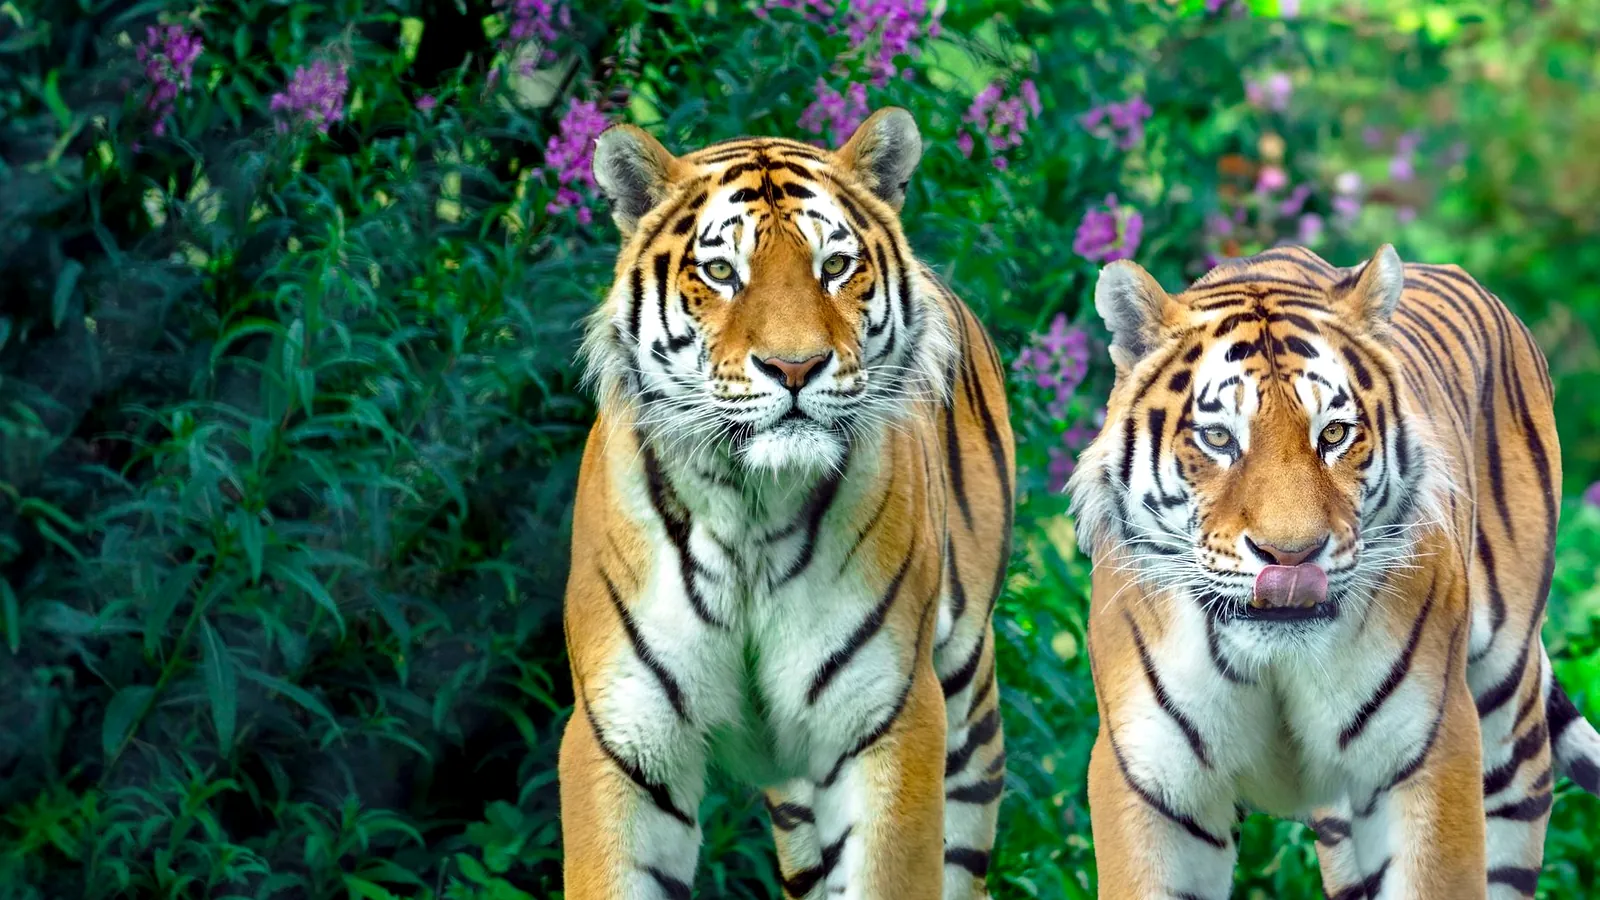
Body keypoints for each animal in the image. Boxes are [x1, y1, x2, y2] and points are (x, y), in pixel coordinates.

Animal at [557, 107, 1016, 899]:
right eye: (720, 272)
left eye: (834, 267)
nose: (795, 366)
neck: (749, 507)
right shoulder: (621, 735)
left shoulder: (887, 720)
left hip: (966, 703)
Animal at [1065, 244, 1600, 899]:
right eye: (1218, 437)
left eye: (1335, 433)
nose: (1291, 557)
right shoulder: (1152, 781)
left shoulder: (1426, 752)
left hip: (1506, 714)